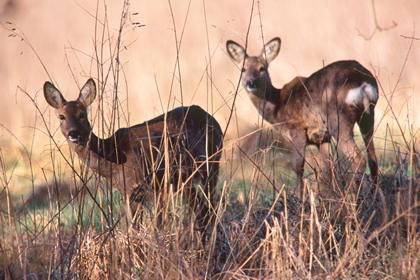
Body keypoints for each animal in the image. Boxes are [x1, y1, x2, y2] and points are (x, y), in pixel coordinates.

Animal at [43, 78, 223, 230]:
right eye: (62, 116)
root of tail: (209, 116)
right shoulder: (129, 192)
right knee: (201, 208)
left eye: (83, 115)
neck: (113, 156)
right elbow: (135, 227)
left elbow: (158, 225)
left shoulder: (153, 184)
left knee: (208, 206)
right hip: (184, 179)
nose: (74, 133)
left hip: (211, 165)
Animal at [228, 36, 378, 195]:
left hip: (339, 119)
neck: (277, 107)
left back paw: (356, 196)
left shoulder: (297, 130)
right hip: (368, 116)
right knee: (372, 160)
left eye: (262, 68)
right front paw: (331, 195)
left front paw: (301, 198)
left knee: (359, 160)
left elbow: (299, 168)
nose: (251, 83)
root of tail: (361, 79)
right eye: (243, 69)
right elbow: (328, 168)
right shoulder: (321, 137)